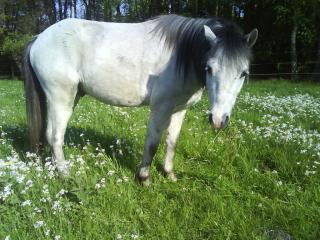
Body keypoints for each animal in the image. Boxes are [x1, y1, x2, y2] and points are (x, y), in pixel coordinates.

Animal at [23, 14, 258, 185]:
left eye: (243, 73)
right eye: (209, 68)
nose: (218, 120)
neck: (180, 56)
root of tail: (39, 38)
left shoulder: (179, 109)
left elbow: (172, 142)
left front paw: (169, 174)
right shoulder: (161, 108)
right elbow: (152, 143)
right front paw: (144, 178)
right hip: (61, 98)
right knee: (55, 136)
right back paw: (65, 176)